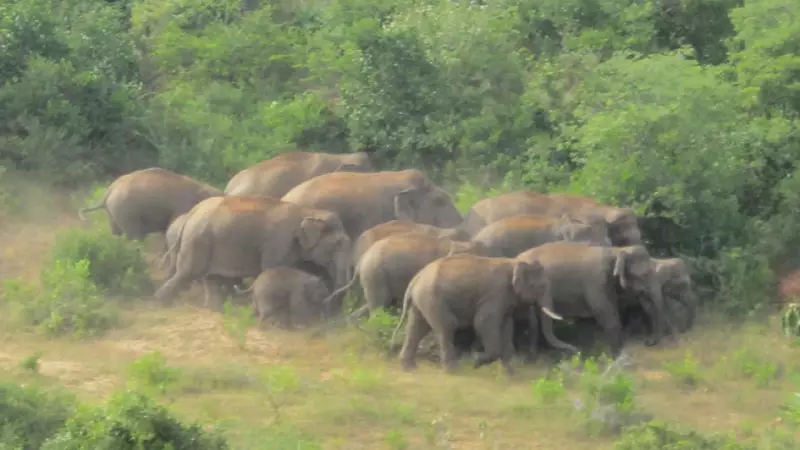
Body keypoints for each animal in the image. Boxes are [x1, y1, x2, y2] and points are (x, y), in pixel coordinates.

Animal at [78, 167, 224, 240]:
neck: (201, 186)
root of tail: (109, 190)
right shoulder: (182, 206)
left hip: (114, 211)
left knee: (117, 233)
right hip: (125, 210)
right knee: (135, 235)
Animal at [153, 195, 353, 311]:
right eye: (337, 243)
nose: (330, 307)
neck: (307, 211)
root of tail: (191, 213)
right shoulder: (278, 243)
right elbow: (273, 269)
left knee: (210, 278)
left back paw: (215, 309)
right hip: (199, 240)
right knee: (187, 273)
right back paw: (159, 304)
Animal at [391, 253, 576, 375]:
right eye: (541, 287)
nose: (574, 351)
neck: (514, 262)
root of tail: (416, 278)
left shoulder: (505, 300)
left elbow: (506, 327)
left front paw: (510, 375)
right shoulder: (496, 293)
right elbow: (483, 323)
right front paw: (476, 361)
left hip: (422, 300)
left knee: (417, 327)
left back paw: (409, 368)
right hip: (433, 299)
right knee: (446, 327)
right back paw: (454, 370)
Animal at [516, 242, 678, 359]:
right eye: (644, 275)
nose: (647, 342)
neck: (616, 251)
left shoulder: (607, 284)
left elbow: (603, 313)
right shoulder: (596, 280)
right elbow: (603, 311)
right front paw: (616, 358)